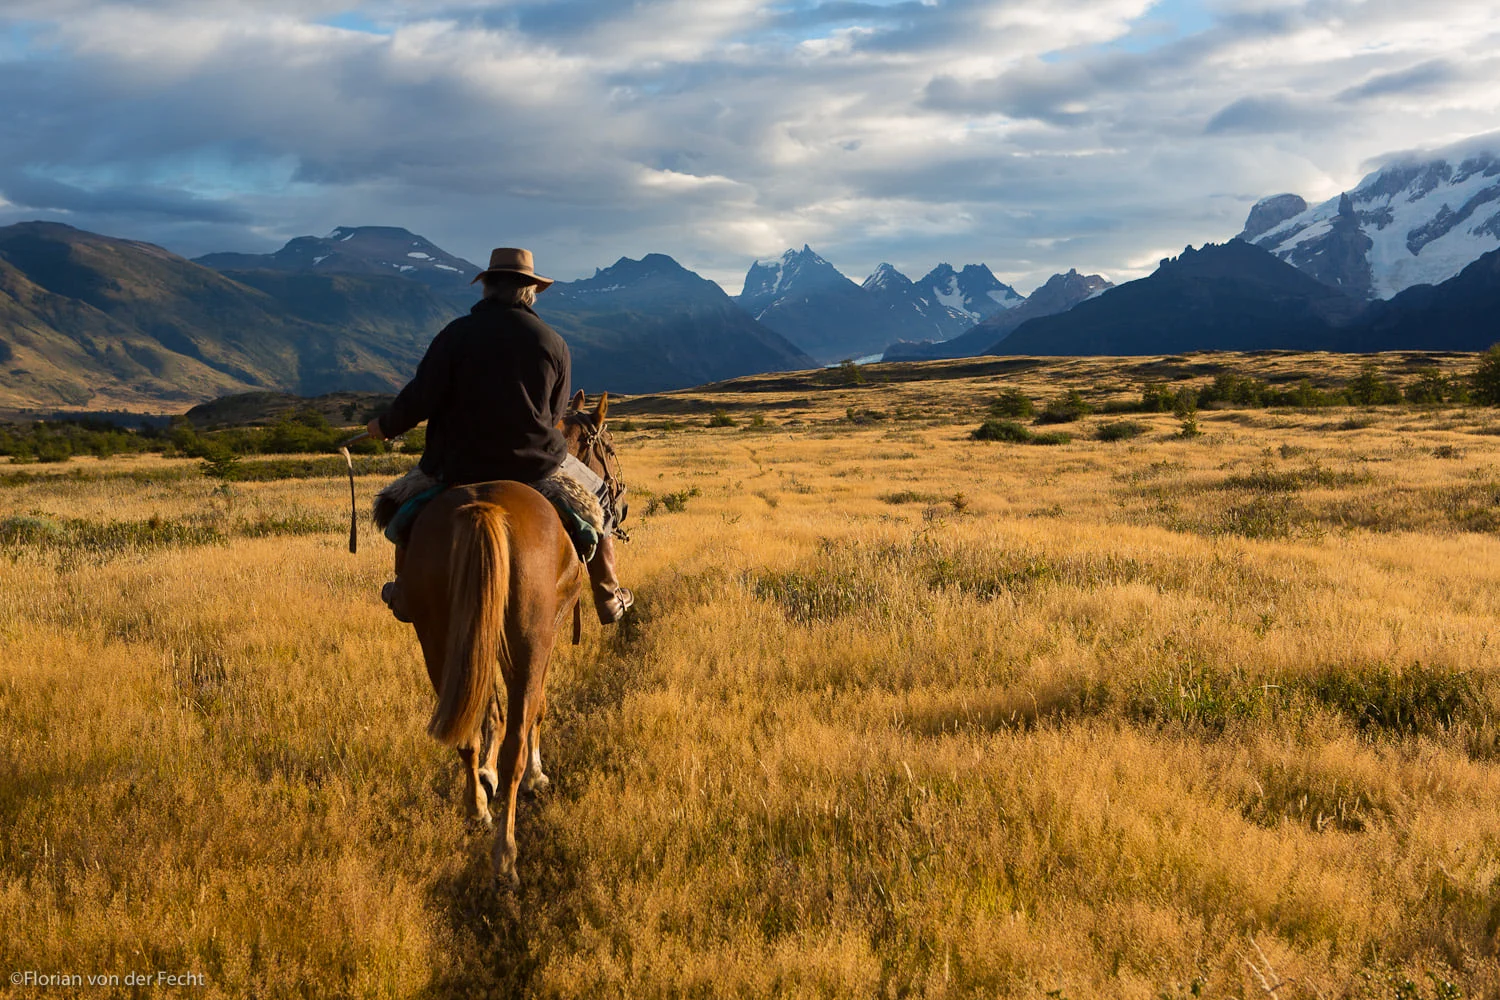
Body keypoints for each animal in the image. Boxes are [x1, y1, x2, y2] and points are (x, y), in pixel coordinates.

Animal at [399, 389, 621, 881]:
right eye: (609, 448)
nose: (616, 492)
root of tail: (485, 508)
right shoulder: (546, 635)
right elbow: (536, 709)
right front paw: (536, 775)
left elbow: (491, 711)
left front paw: (486, 777)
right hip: (527, 638)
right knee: (516, 741)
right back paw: (505, 853)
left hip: (437, 637)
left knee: (463, 730)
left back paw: (478, 809)